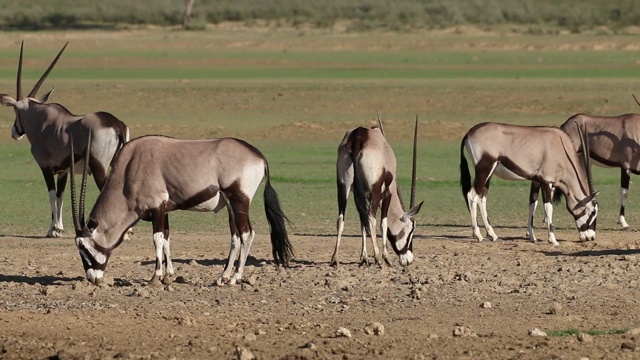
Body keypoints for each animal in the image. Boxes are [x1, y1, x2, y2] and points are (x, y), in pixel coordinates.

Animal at [0, 42, 130, 238]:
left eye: (15, 111)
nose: (15, 133)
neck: (41, 121)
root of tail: (116, 125)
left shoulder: (45, 167)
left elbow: (52, 194)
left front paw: (53, 229)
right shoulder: (63, 170)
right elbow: (60, 197)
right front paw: (57, 228)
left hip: (99, 168)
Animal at [69, 134, 294, 286]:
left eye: (82, 245)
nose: (92, 278)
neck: (129, 169)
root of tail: (259, 158)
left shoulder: (157, 208)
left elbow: (157, 239)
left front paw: (155, 277)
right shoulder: (164, 210)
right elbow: (167, 238)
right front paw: (169, 276)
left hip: (239, 200)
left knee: (247, 233)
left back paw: (234, 278)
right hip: (231, 205)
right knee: (236, 237)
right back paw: (223, 277)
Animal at [330, 116, 424, 266]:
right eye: (412, 229)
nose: (408, 260)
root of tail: (358, 137)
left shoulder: (361, 195)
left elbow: (362, 222)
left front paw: (364, 257)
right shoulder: (387, 192)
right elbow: (383, 222)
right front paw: (385, 257)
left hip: (343, 186)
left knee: (342, 218)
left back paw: (335, 258)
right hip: (374, 190)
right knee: (371, 218)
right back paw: (378, 257)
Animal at [462, 121, 596, 245]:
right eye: (593, 211)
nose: (591, 237)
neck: (560, 146)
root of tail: (469, 133)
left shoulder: (536, 181)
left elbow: (533, 204)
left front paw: (533, 237)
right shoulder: (547, 182)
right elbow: (548, 208)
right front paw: (553, 240)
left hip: (488, 174)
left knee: (482, 198)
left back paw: (493, 235)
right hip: (484, 169)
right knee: (472, 196)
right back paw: (478, 235)